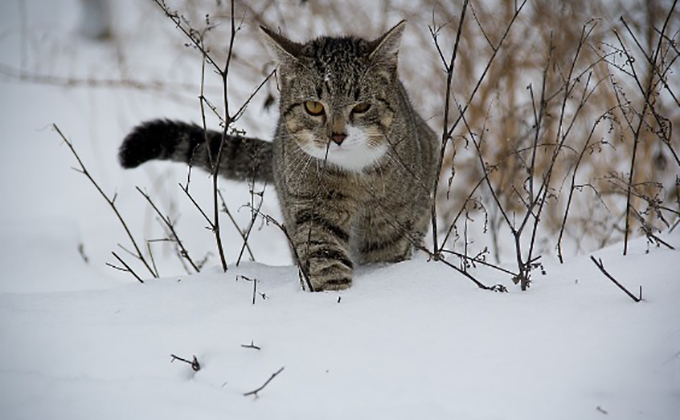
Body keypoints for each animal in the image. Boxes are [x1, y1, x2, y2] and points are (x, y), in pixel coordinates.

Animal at [121, 21, 440, 290]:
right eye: (314, 106)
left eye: (361, 106)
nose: (337, 136)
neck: (354, 174)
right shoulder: (312, 207)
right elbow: (325, 257)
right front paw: (335, 296)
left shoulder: (391, 220)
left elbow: (386, 253)